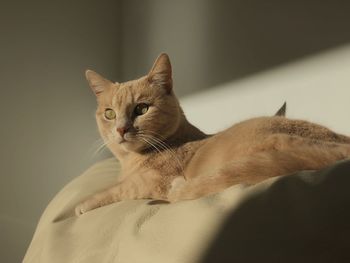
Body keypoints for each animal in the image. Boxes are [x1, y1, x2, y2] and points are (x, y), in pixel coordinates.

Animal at [75, 53, 350, 217]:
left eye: (142, 109)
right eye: (109, 113)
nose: (121, 129)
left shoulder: (152, 183)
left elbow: (116, 190)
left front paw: (83, 205)